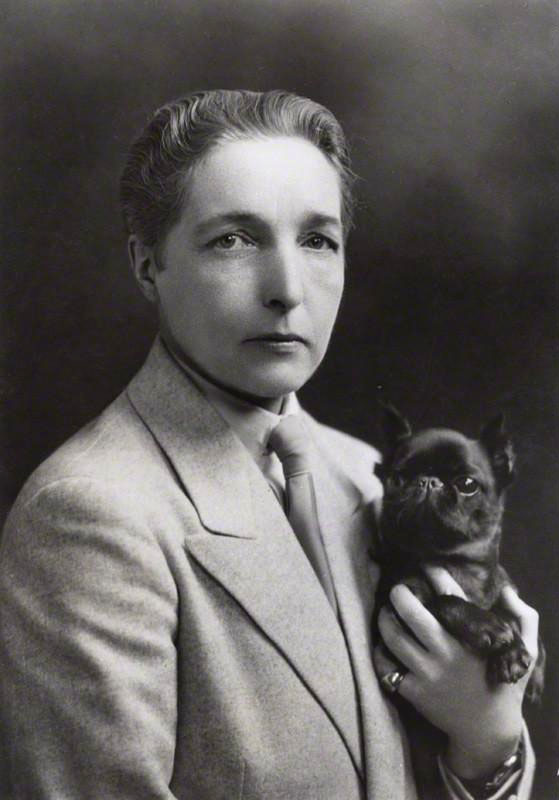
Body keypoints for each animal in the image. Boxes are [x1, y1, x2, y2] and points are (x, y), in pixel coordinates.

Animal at [374, 404, 544, 696]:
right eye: (397, 479)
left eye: (467, 485)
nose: (428, 481)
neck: (456, 562)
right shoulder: (399, 604)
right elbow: (443, 600)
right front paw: (488, 626)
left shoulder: (510, 592)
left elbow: (514, 618)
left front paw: (513, 655)